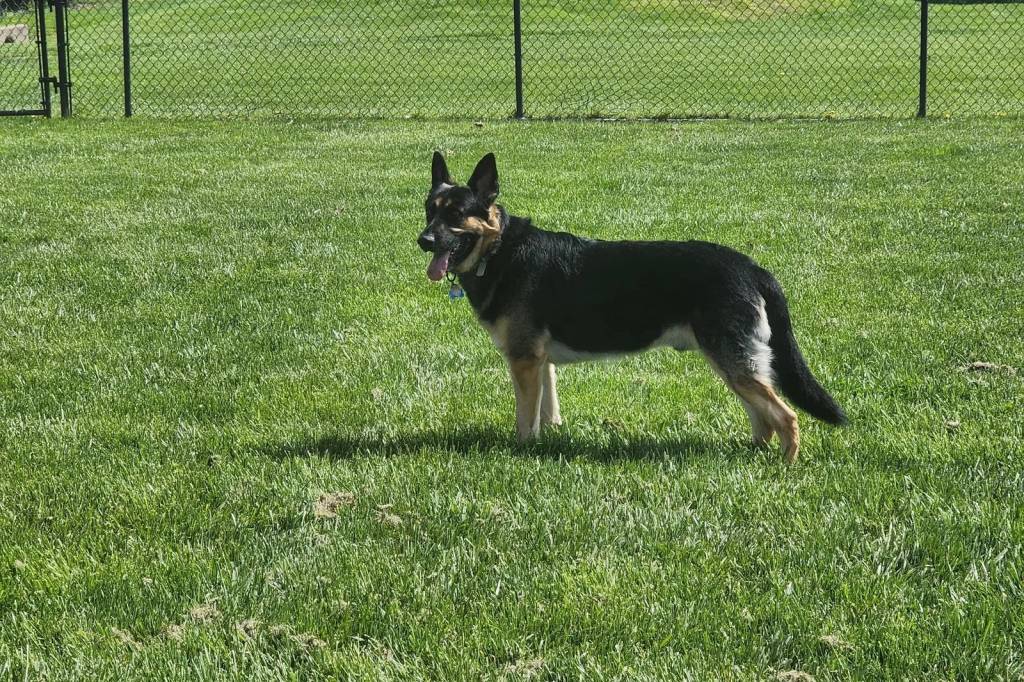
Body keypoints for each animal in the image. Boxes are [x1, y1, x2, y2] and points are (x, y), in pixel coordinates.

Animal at [417, 152, 846, 463]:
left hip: (734, 362)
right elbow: (547, 411)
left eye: (456, 214)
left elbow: (526, 419)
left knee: (786, 416)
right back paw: (752, 452)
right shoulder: (541, 363)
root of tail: (753, 268)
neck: (499, 250)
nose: (423, 241)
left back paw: (785, 466)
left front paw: (522, 452)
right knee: (763, 416)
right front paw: (547, 441)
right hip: (733, 364)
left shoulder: (523, 362)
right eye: (429, 210)